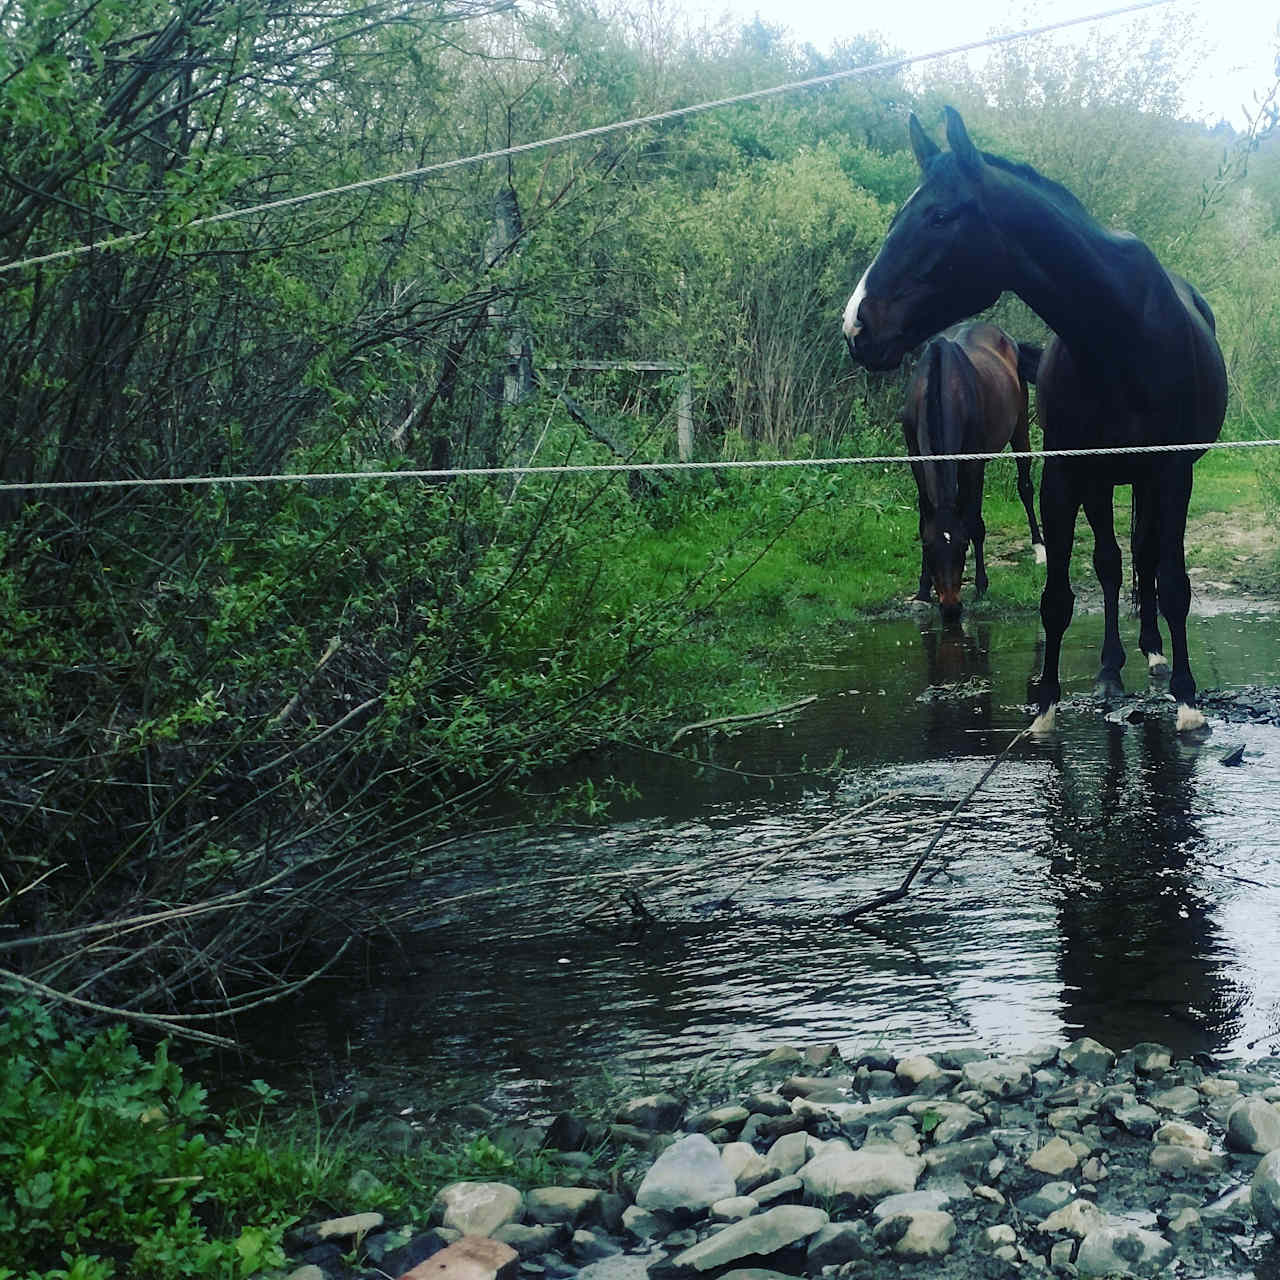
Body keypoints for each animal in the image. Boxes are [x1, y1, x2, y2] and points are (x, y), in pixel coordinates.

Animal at [896, 318, 1044, 619]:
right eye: (929, 547)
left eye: (962, 545)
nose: (951, 607)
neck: (941, 384)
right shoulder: (916, 458)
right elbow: (924, 519)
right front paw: (922, 590)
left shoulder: (972, 463)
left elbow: (975, 523)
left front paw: (981, 585)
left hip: (1020, 426)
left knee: (1025, 486)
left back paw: (1039, 548)